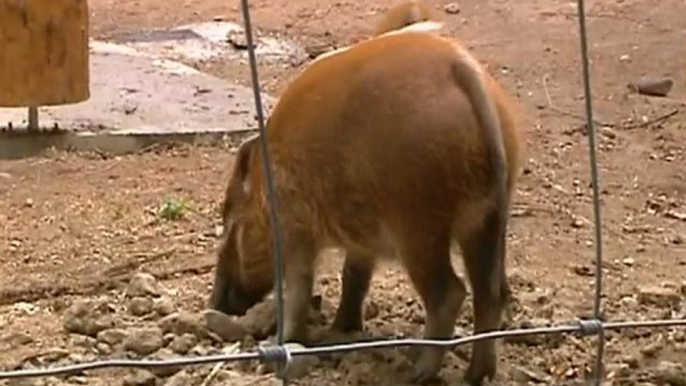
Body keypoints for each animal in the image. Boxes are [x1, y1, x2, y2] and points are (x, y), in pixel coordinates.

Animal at [210, 20, 528, 386]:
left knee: (449, 293)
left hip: (417, 225)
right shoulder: (360, 242)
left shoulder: (295, 232)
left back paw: (416, 372)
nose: (214, 304)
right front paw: (339, 331)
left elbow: (298, 290)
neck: (268, 184)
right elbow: (354, 278)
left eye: (229, 218)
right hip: (485, 219)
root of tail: (464, 72)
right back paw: (478, 375)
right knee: (492, 293)